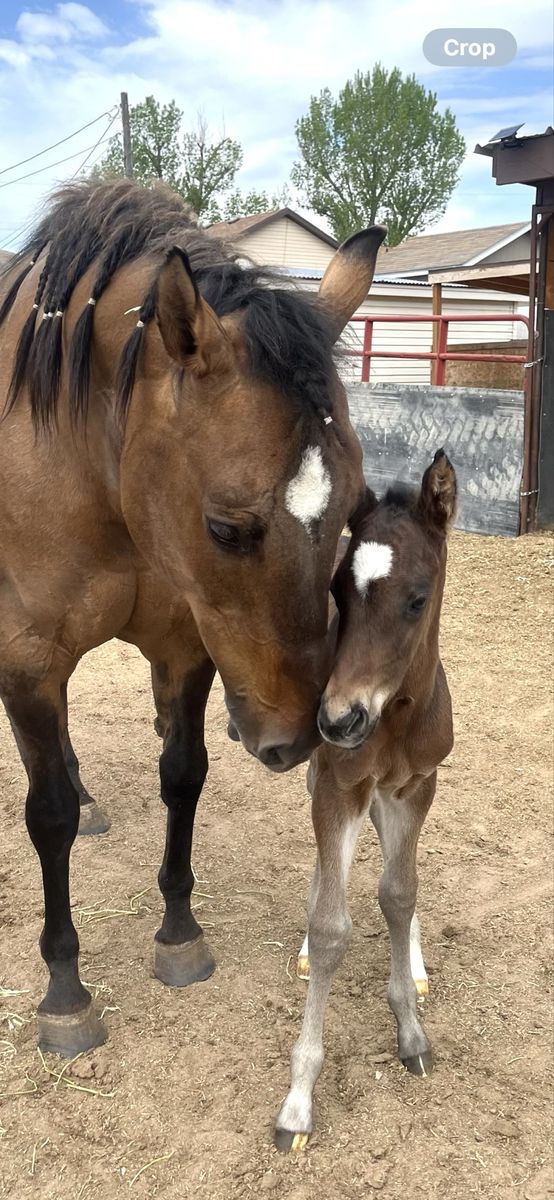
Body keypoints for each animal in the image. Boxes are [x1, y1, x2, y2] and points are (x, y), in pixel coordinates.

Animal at [0, 179, 386, 1058]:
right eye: (227, 528)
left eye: (355, 508)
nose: (294, 740)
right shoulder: (27, 661)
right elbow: (48, 816)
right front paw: (65, 991)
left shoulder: (184, 649)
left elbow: (182, 775)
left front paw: (179, 933)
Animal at [274, 450, 456, 1151]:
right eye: (338, 592)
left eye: (417, 598)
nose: (340, 718)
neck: (396, 714)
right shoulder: (340, 783)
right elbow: (331, 924)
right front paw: (298, 1101)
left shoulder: (417, 786)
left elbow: (399, 892)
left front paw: (411, 1032)